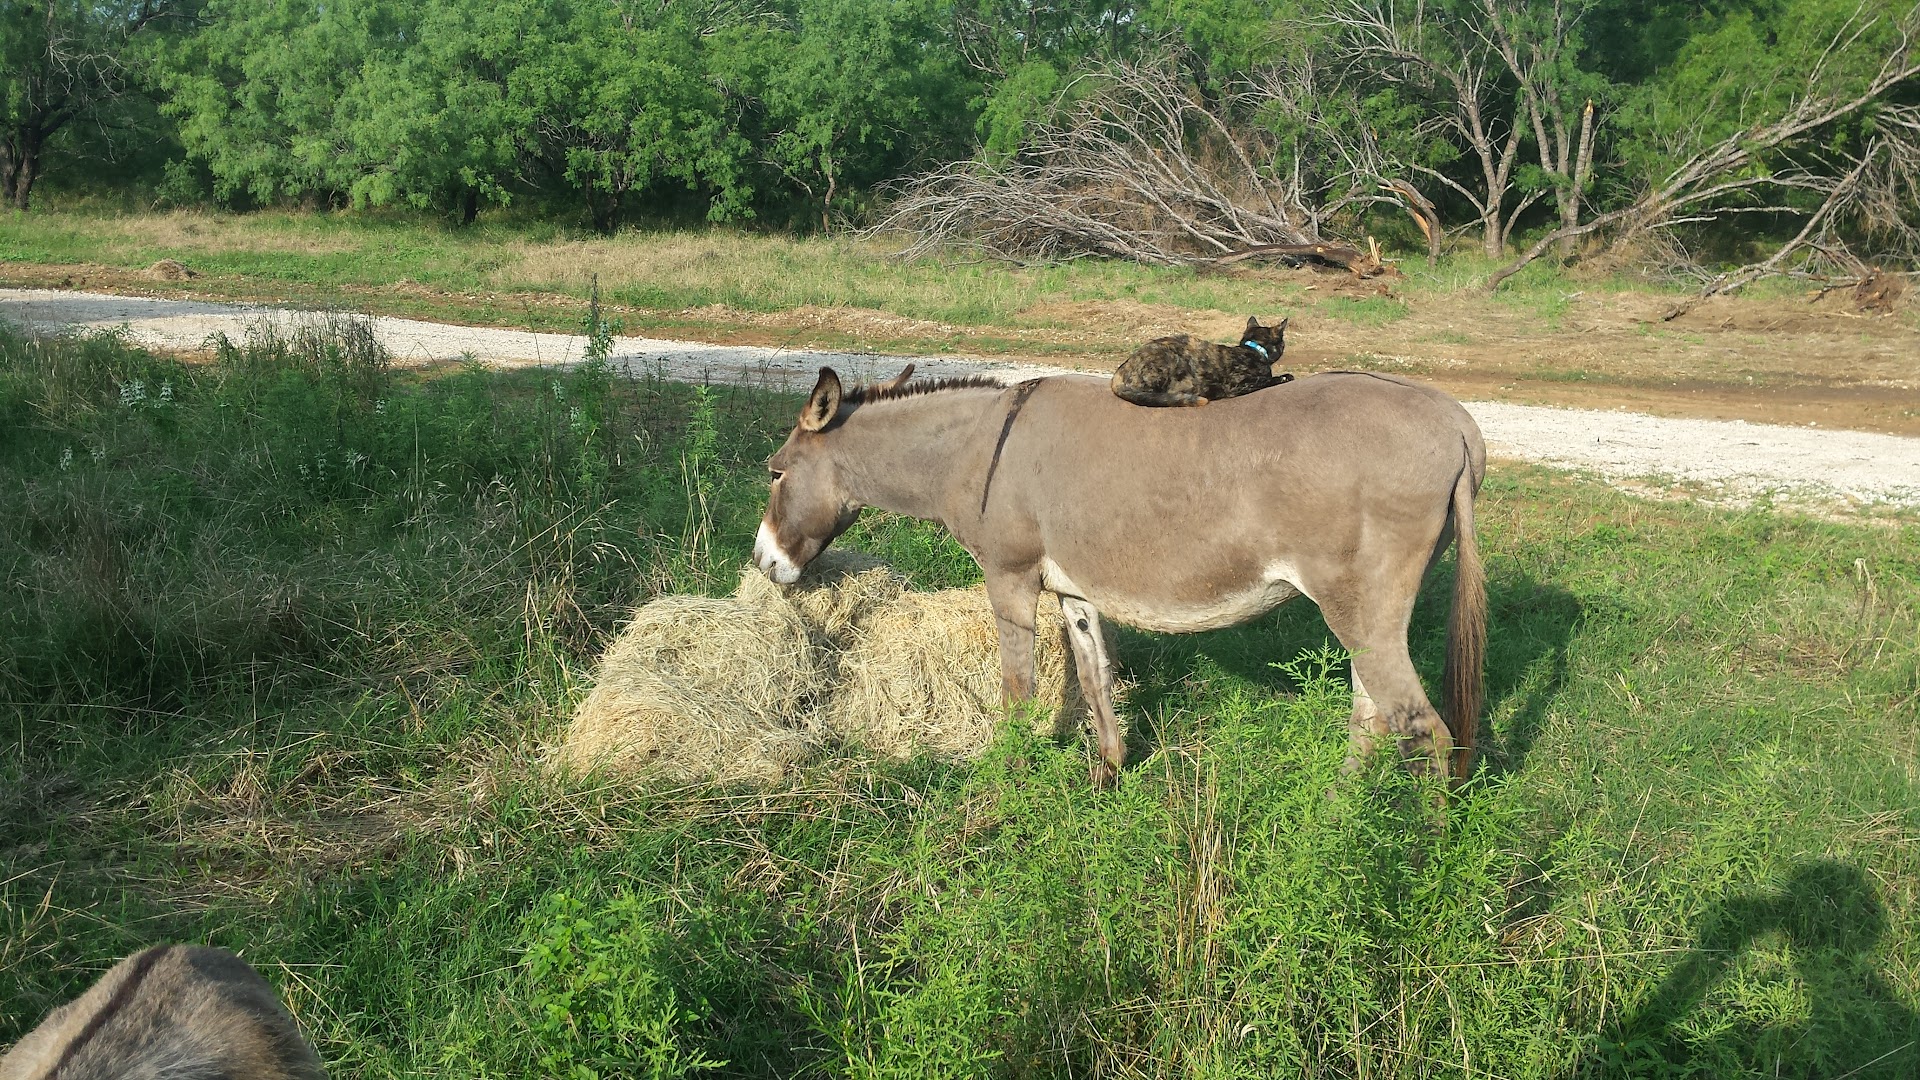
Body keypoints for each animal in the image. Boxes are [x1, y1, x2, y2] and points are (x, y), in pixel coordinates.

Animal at [1113, 319, 1290, 407]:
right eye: (1283, 343)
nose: (1284, 345)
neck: (1254, 349)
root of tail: (1118, 374)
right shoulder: (1237, 384)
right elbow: (1266, 380)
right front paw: (1284, 377)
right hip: (1168, 358)